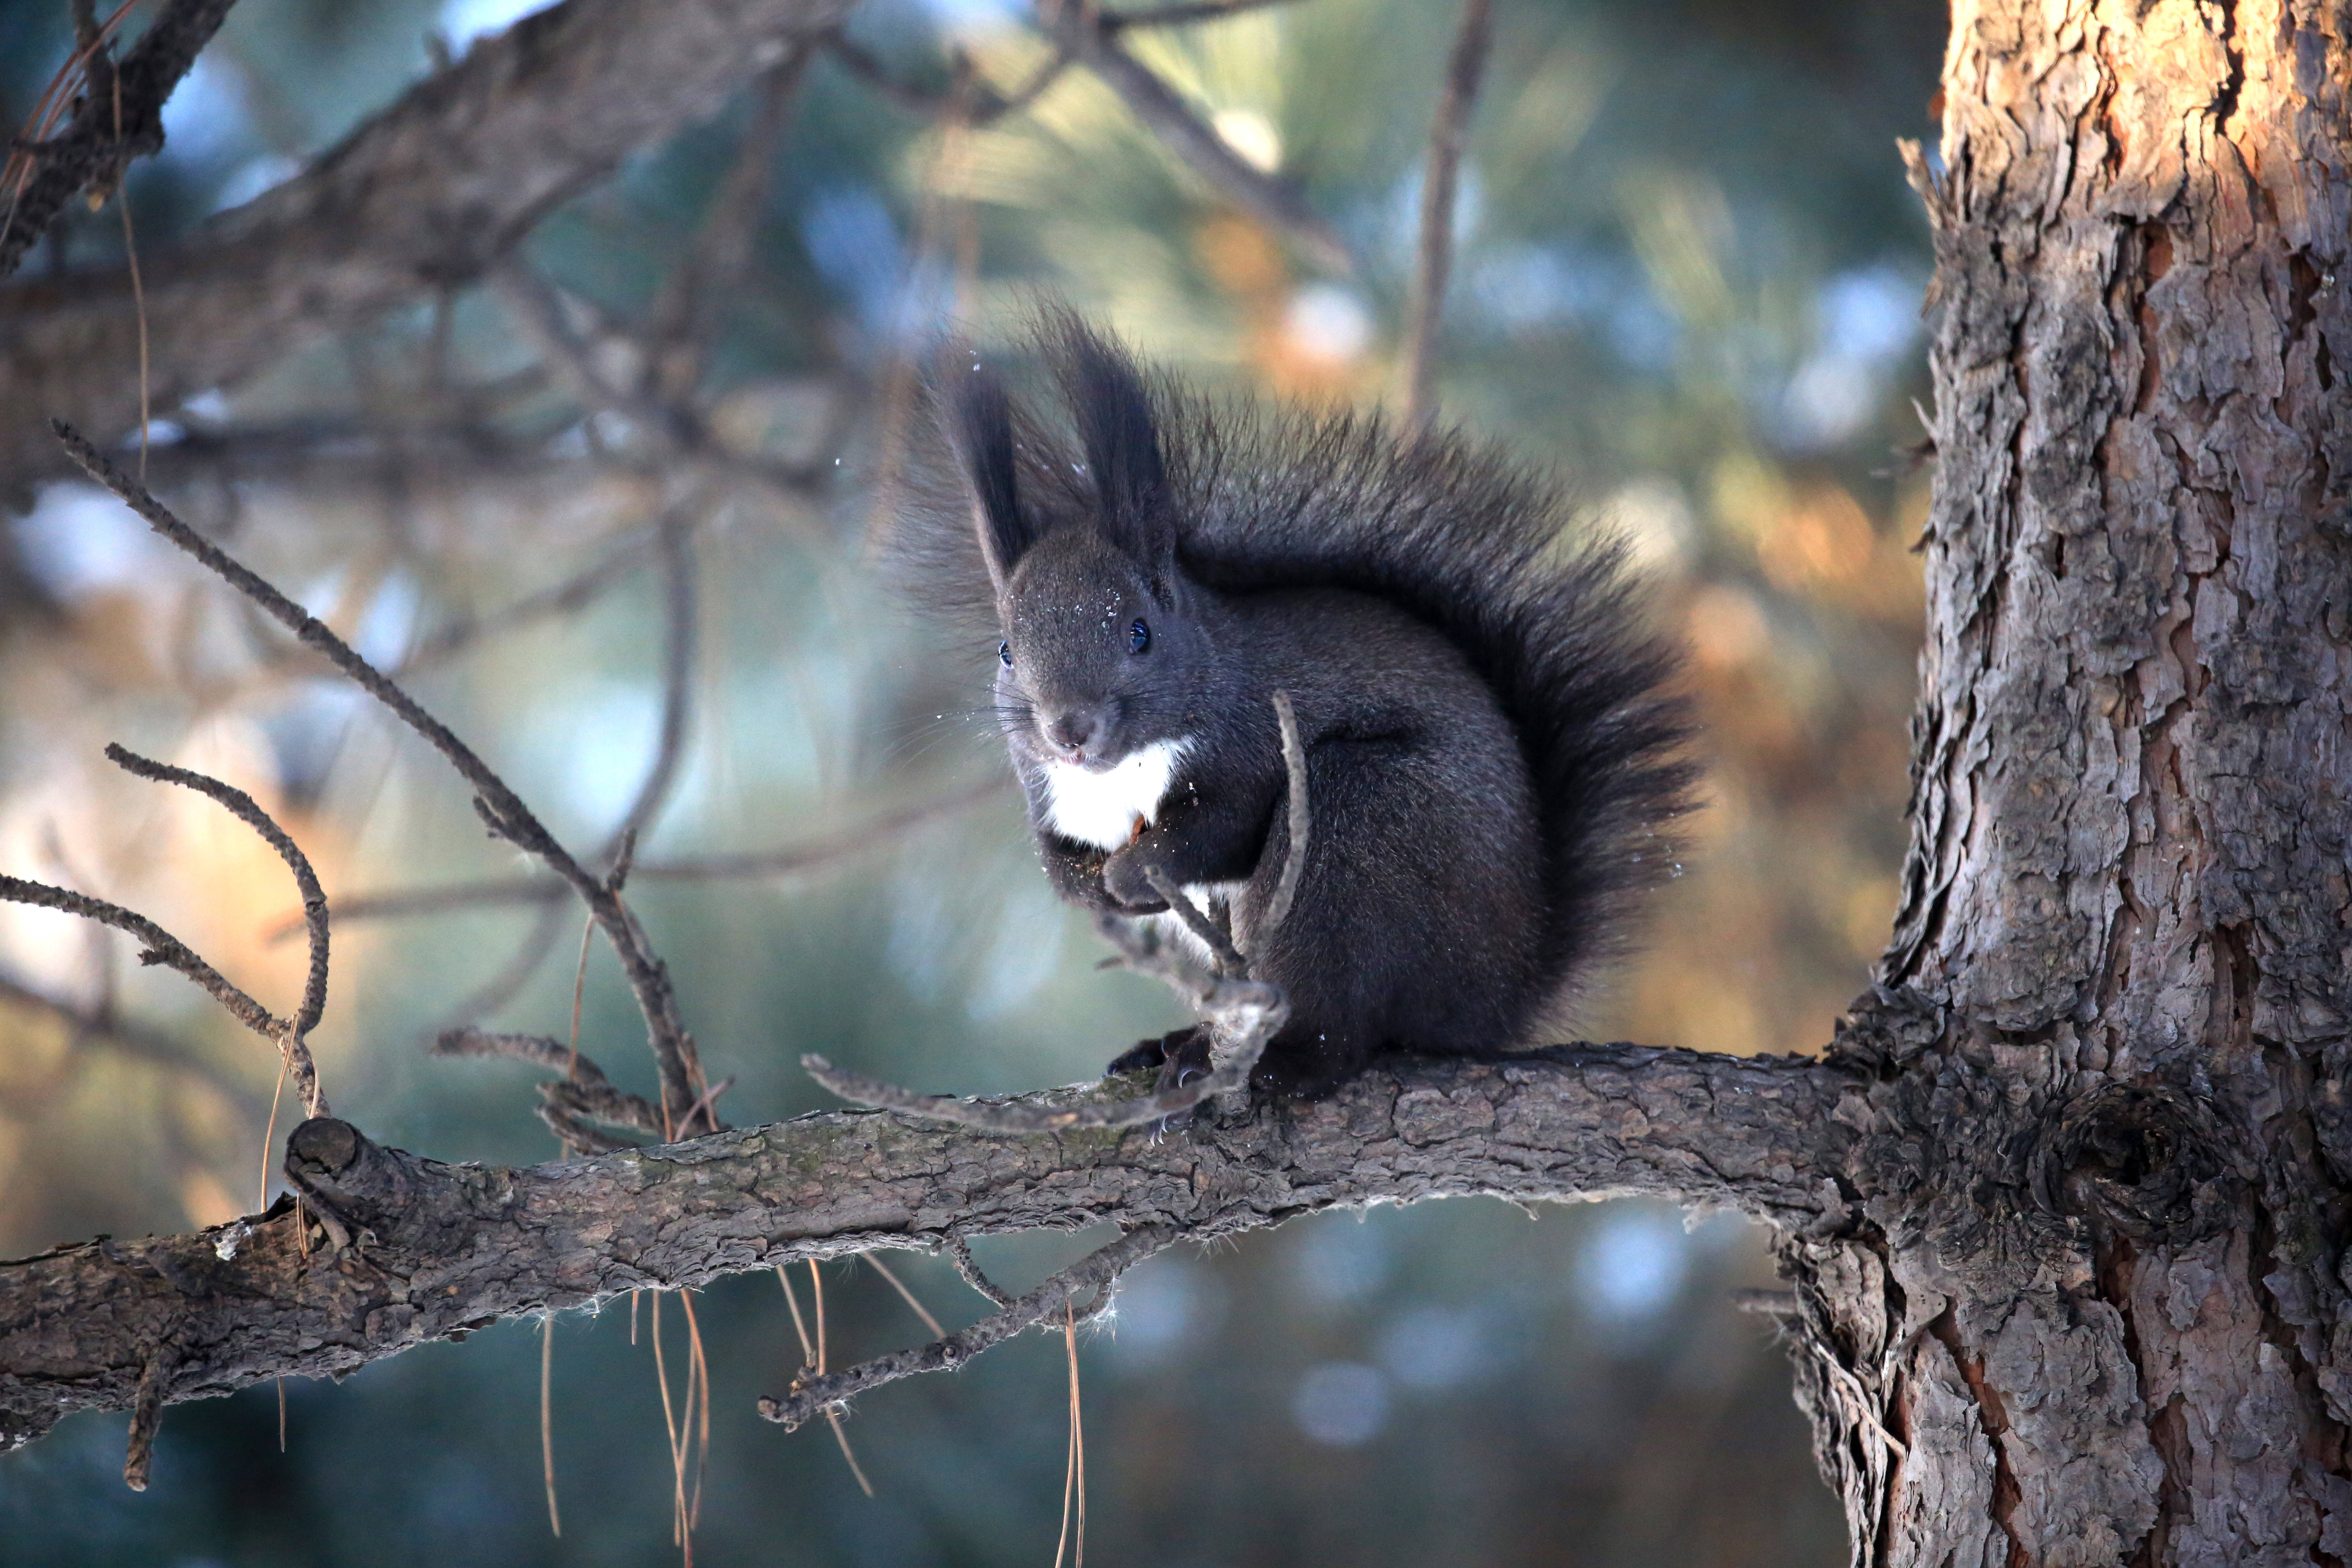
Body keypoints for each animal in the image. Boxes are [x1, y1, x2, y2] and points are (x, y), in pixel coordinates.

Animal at [898, 315, 1693, 1105]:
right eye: (1007, 650)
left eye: (1139, 633)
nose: (1071, 731)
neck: (1121, 772)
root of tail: (1500, 998)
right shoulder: (1048, 795)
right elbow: (1060, 863)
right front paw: (1092, 887)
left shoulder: (1251, 740)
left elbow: (1219, 828)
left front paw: (1131, 877)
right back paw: (1173, 1046)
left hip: (1359, 830)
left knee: (1335, 1033)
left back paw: (1263, 1063)